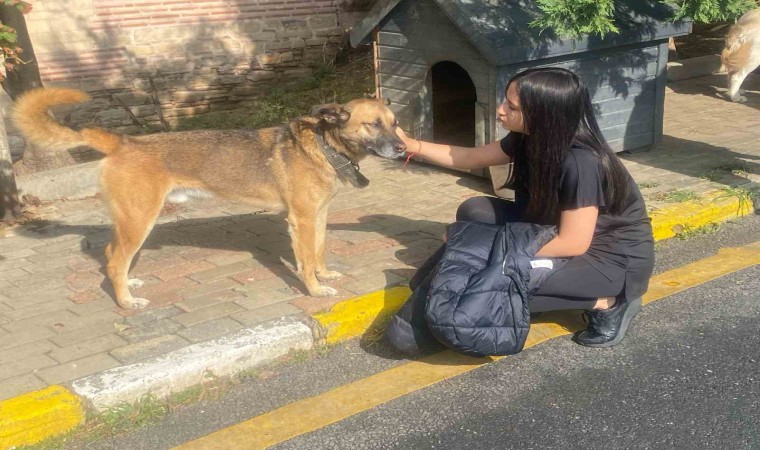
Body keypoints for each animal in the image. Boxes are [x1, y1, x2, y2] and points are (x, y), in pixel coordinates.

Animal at [11, 89, 406, 312]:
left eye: (395, 122)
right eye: (373, 124)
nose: (403, 149)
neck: (324, 146)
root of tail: (124, 142)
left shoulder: (318, 216)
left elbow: (319, 252)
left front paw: (324, 274)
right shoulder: (302, 221)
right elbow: (305, 262)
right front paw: (314, 289)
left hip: (128, 221)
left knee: (111, 257)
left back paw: (128, 284)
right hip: (140, 220)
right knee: (114, 262)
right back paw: (126, 301)